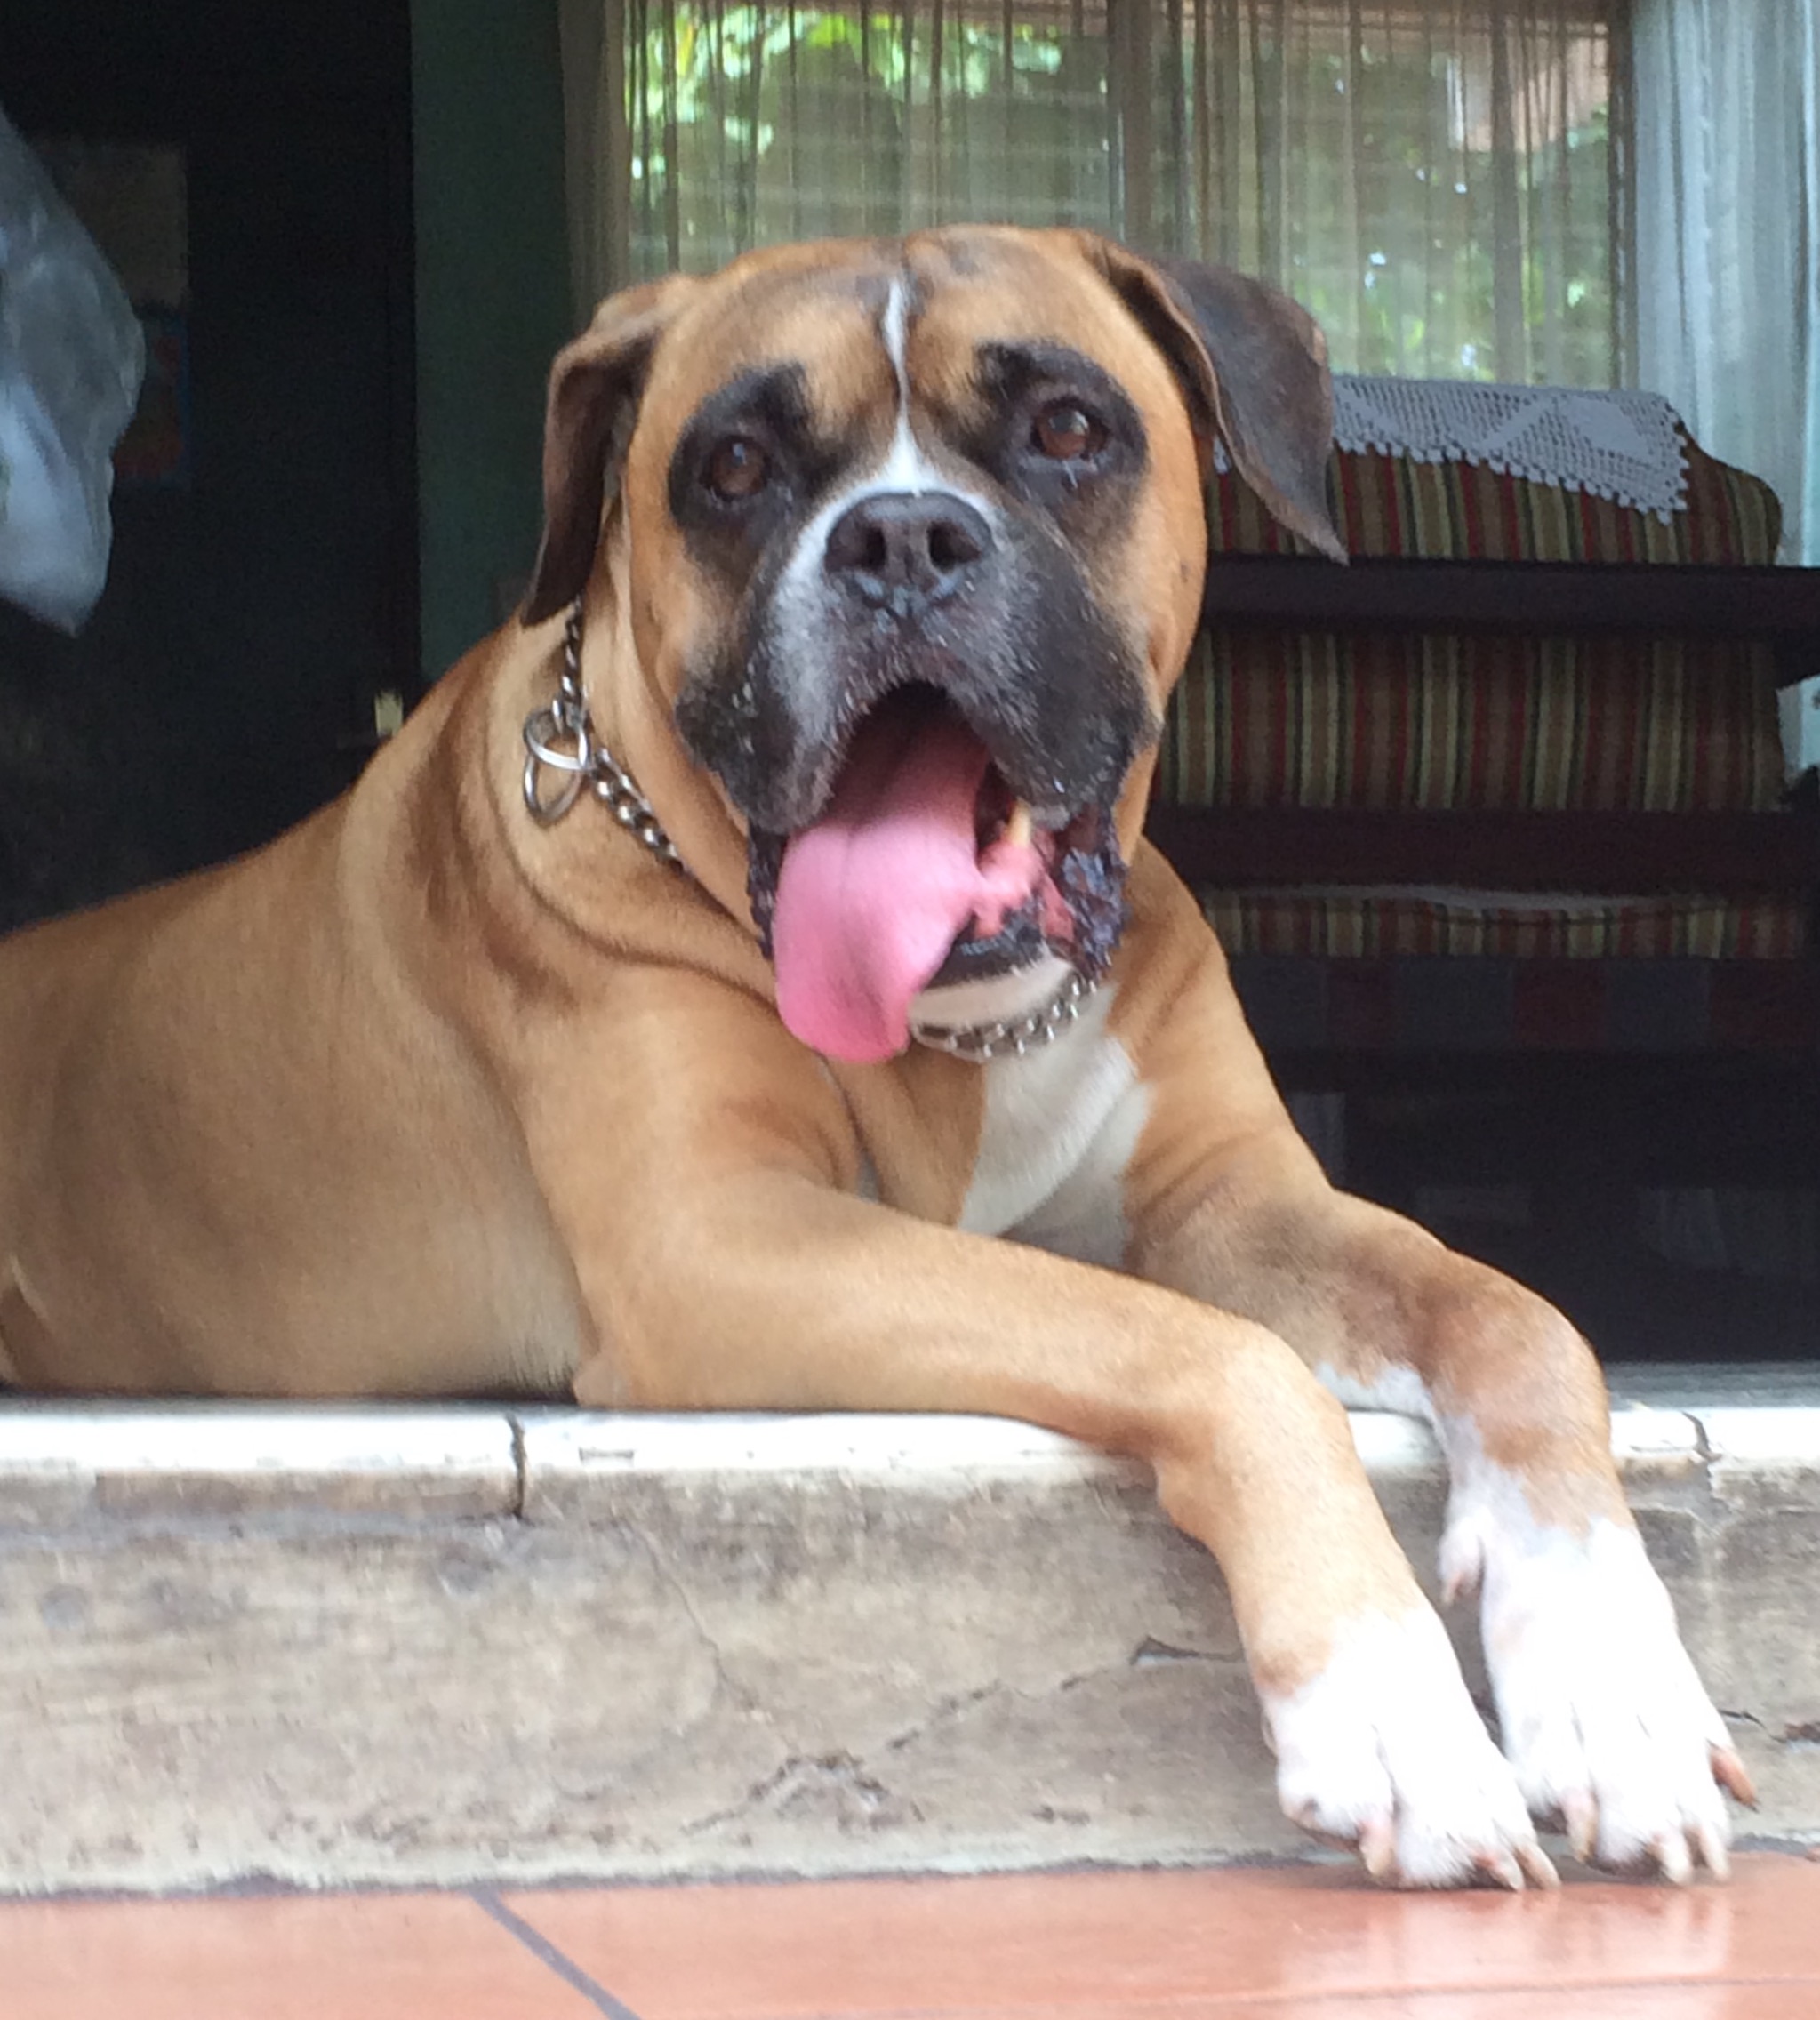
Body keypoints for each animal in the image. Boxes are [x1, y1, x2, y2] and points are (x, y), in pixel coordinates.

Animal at [0, 227, 1752, 1887]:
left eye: (1066, 426)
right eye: (731, 466)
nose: (902, 540)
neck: (970, 1028)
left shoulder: (1235, 1211)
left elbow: (1514, 1316)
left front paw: (1609, 1681)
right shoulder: (725, 1244)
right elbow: (1214, 1356)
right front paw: (1390, 1704)